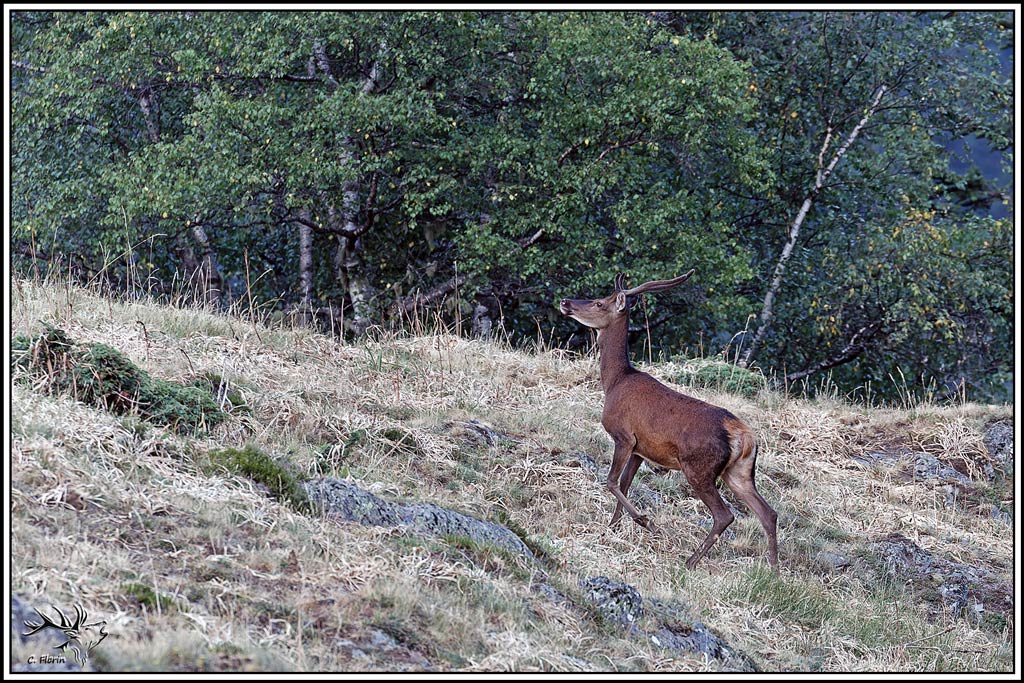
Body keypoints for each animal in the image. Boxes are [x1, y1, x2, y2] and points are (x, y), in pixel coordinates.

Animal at [559, 270, 778, 570]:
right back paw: (775, 569)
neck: (615, 382)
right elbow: (625, 484)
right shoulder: (641, 448)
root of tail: (744, 436)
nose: (565, 302)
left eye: (598, 302)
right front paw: (612, 527)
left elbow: (612, 481)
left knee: (725, 515)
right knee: (768, 513)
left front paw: (644, 521)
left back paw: (690, 561)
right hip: (739, 472)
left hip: (698, 468)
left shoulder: (624, 436)